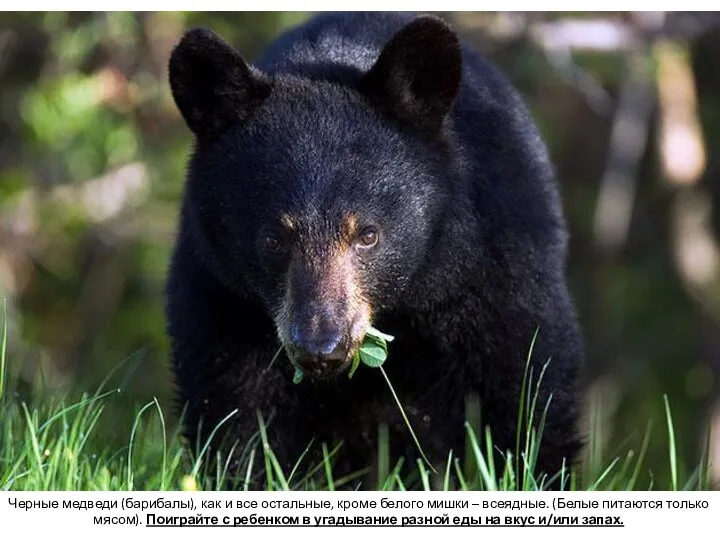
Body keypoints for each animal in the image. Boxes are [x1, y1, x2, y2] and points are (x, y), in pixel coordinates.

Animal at [167, 10, 584, 490]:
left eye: (367, 234)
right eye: (274, 239)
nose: (321, 348)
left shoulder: (494, 259)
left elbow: (527, 382)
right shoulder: (222, 294)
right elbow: (234, 409)